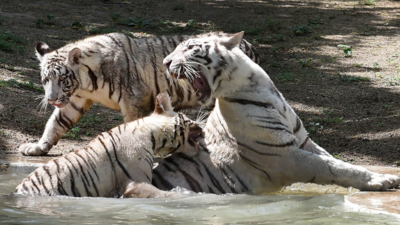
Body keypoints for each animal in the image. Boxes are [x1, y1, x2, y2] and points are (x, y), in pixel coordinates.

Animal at [18, 32, 258, 156]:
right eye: (45, 80)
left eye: (62, 79)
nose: (50, 99)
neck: (85, 83)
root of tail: (246, 43)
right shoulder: (74, 101)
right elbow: (55, 123)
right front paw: (38, 146)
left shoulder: (134, 101)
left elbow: (133, 127)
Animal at [151, 31, 400, 193]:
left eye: (189, 48)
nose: (165, 62)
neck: (255, 85)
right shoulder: (284, 156)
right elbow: (333, 167)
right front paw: (381, 180)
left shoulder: (303, 143)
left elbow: (338, 161)